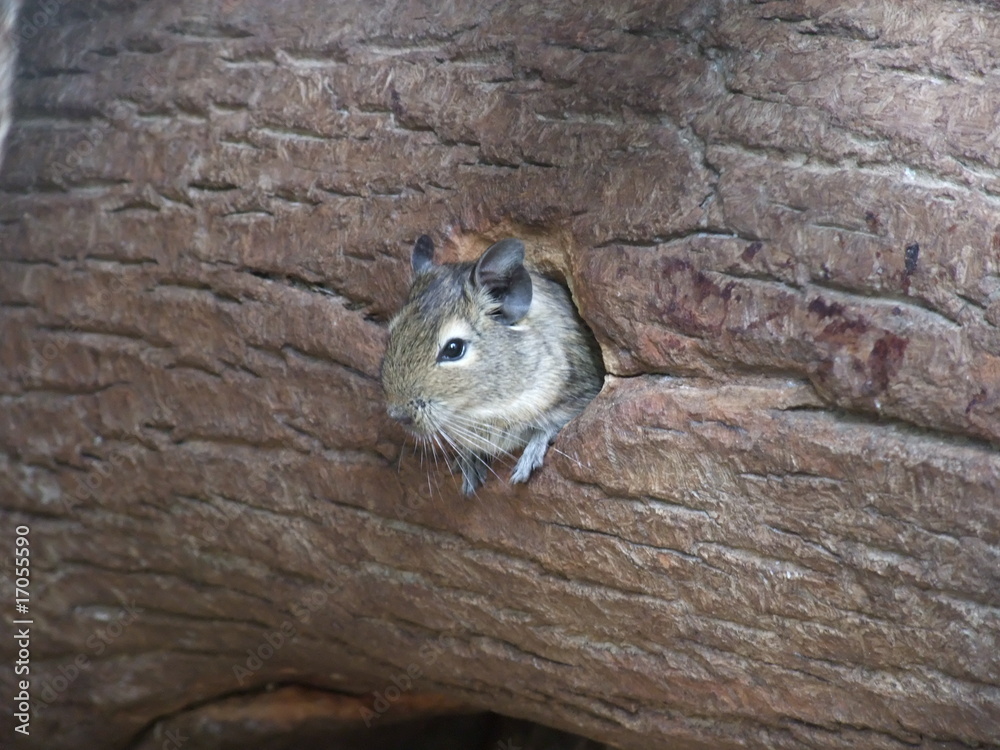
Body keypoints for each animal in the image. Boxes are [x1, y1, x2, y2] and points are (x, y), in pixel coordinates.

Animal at [381, 235, 604, 496]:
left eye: (454, 349)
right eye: (392, 334)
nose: (398, 415)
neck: (485, 409)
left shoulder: (579, 393)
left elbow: (550, 426)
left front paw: (524, 467)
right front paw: (469, 471)